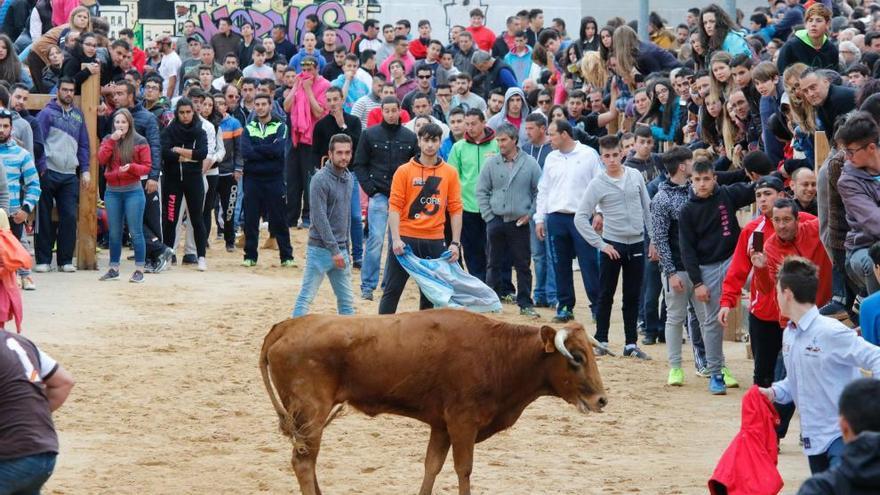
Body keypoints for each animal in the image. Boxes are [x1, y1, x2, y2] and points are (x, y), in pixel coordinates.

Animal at [258, 308, 608, 494]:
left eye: (591, 355)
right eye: (576, 358)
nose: (601, 400)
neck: (497, 352)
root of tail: (287, 326)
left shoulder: (441, 426)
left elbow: (432, 467)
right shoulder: (462, 422)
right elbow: (463, 469)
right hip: (311, 414)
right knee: (304, 463)